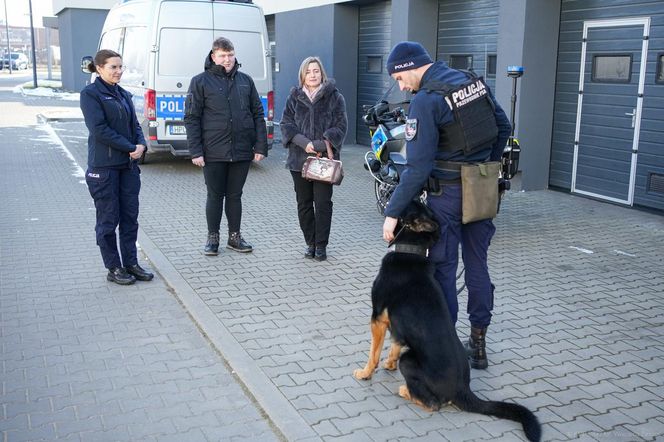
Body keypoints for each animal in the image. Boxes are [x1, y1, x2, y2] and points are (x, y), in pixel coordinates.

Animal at [352, 200, 540, 442]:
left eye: (405, 205)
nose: (387, 203)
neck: (411, 251)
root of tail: (463, 389)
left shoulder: (377, 319)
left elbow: (373, 354)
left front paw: (365, 373)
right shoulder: (396, 326)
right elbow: (395, 345)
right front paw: (389, 364)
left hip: (409, 361)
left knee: (433, 404)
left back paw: (405, 390)